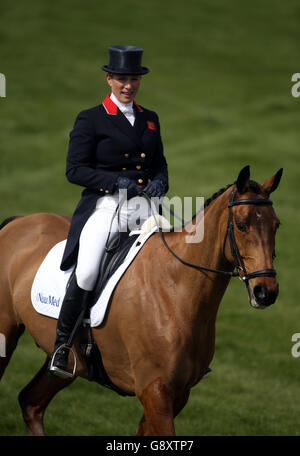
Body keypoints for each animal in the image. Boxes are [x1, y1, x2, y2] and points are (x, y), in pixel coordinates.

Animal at [0, 166, 282, 436]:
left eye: (276, 225)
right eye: (241, 225)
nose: (266, 292)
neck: (175, 288)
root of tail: (17, 222)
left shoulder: (179, 393)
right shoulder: (154, 390)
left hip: (71, 362)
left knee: (30, 402)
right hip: (6, 334)